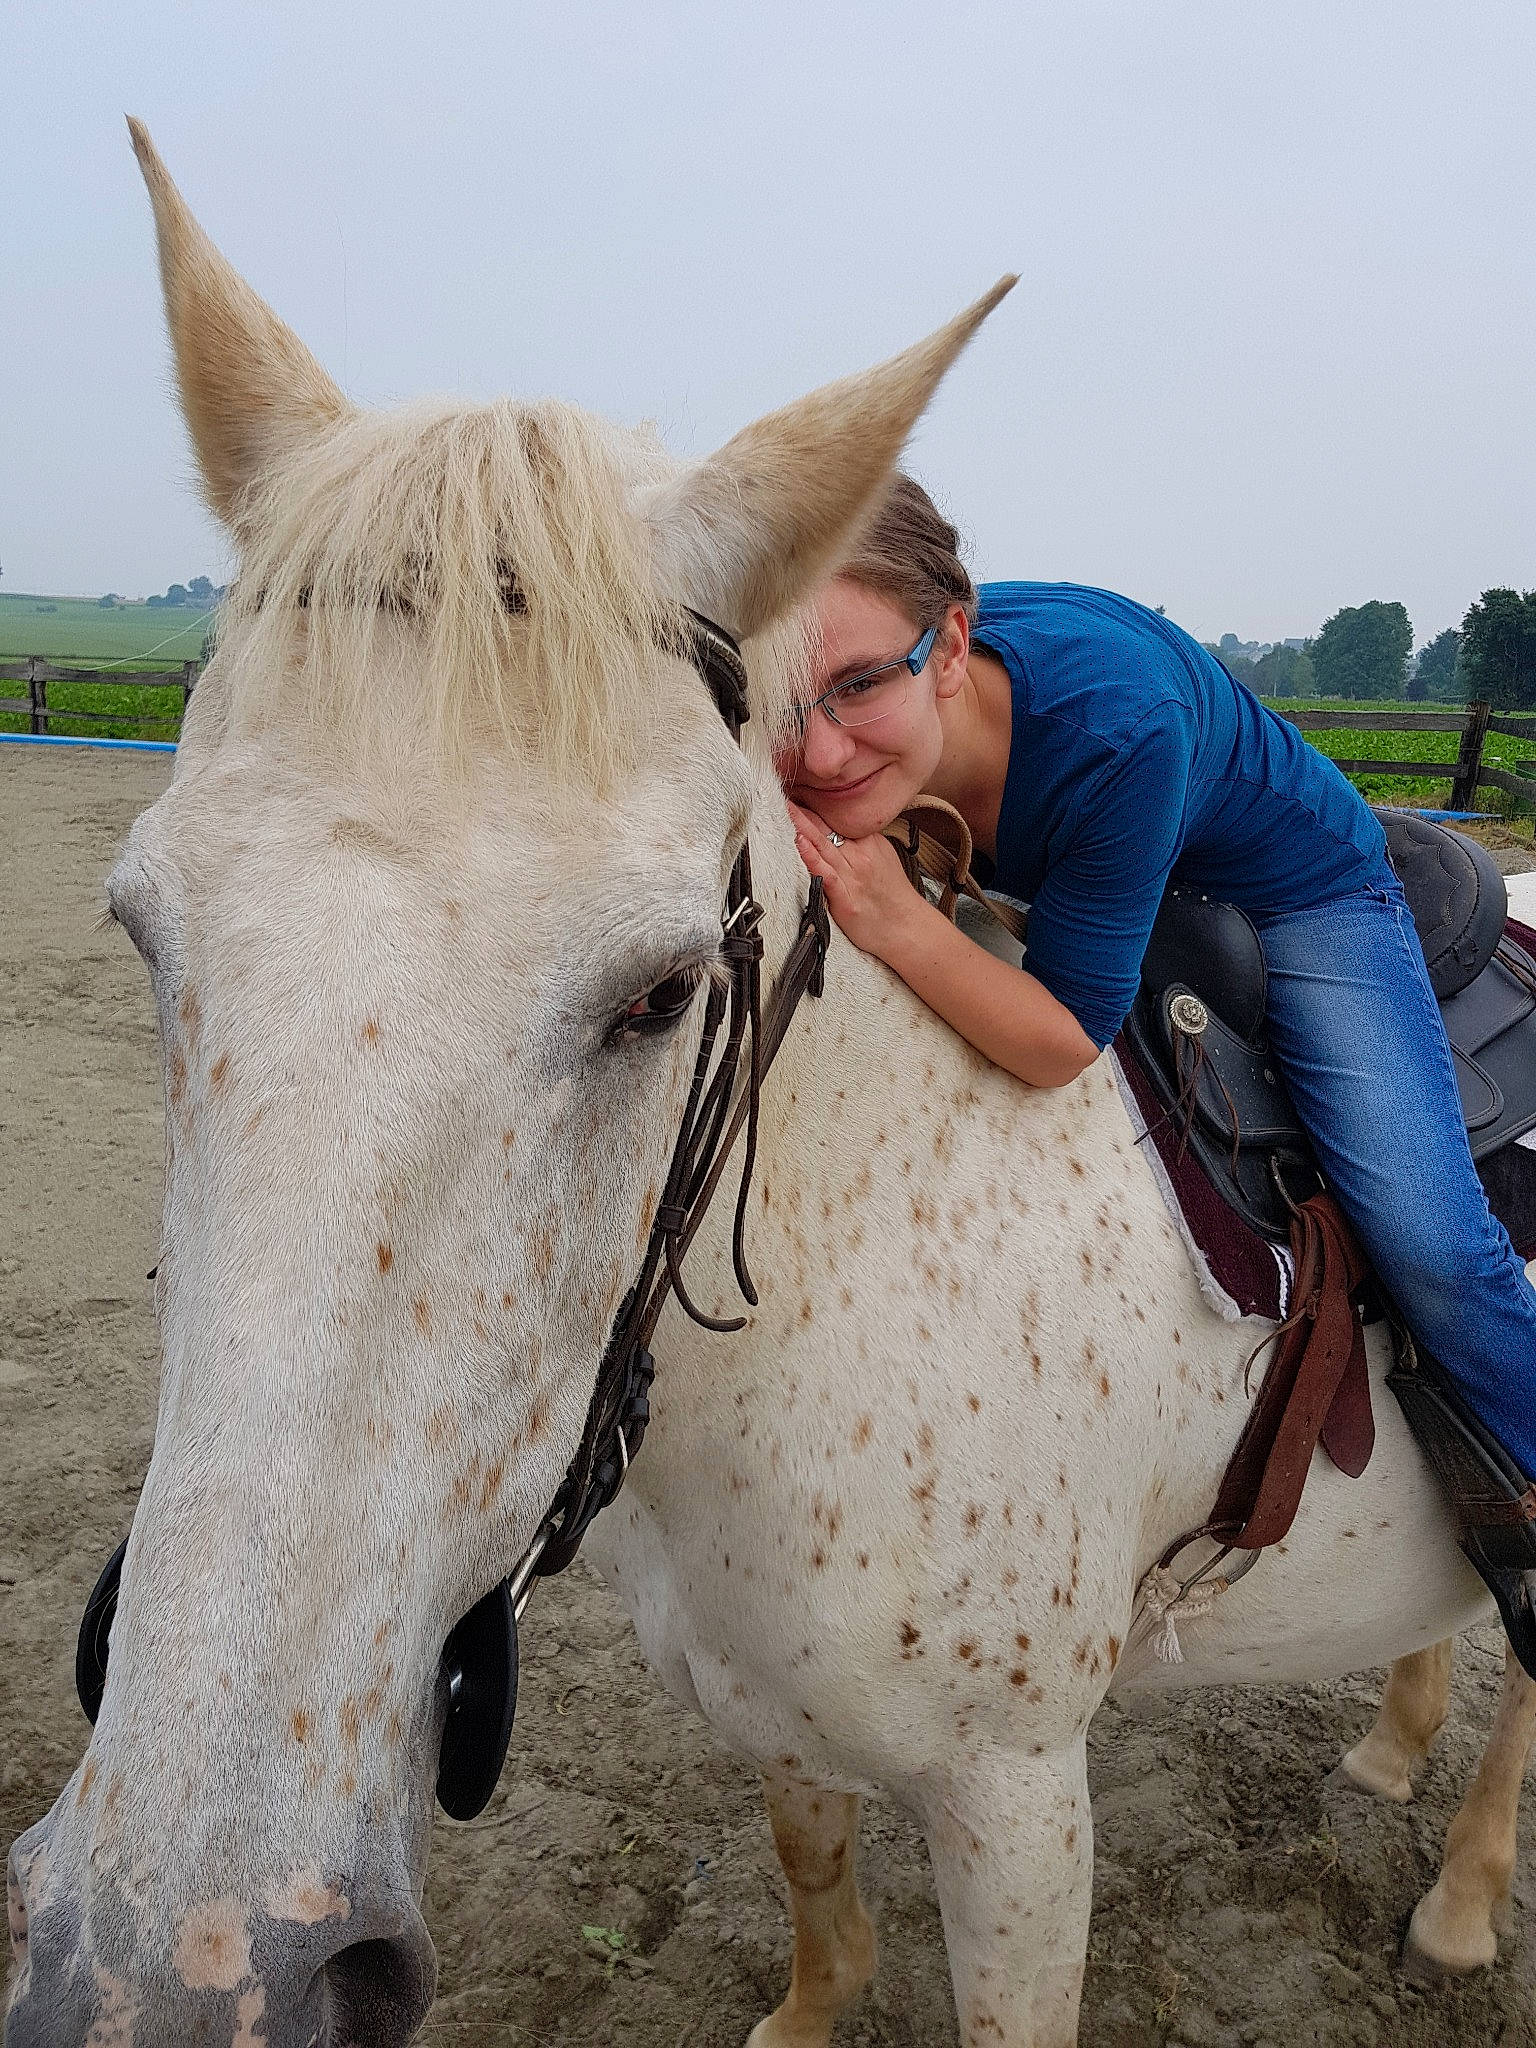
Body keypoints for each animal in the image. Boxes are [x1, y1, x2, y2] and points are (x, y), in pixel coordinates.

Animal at [6, 124, 1534, 2048]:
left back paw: (1466, 1896)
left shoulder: (1021, 1799)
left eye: (662, 991)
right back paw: (1395, 1748)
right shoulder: (762, 1700)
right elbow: (813, 1877)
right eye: (145, 928)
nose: (180, 1967)